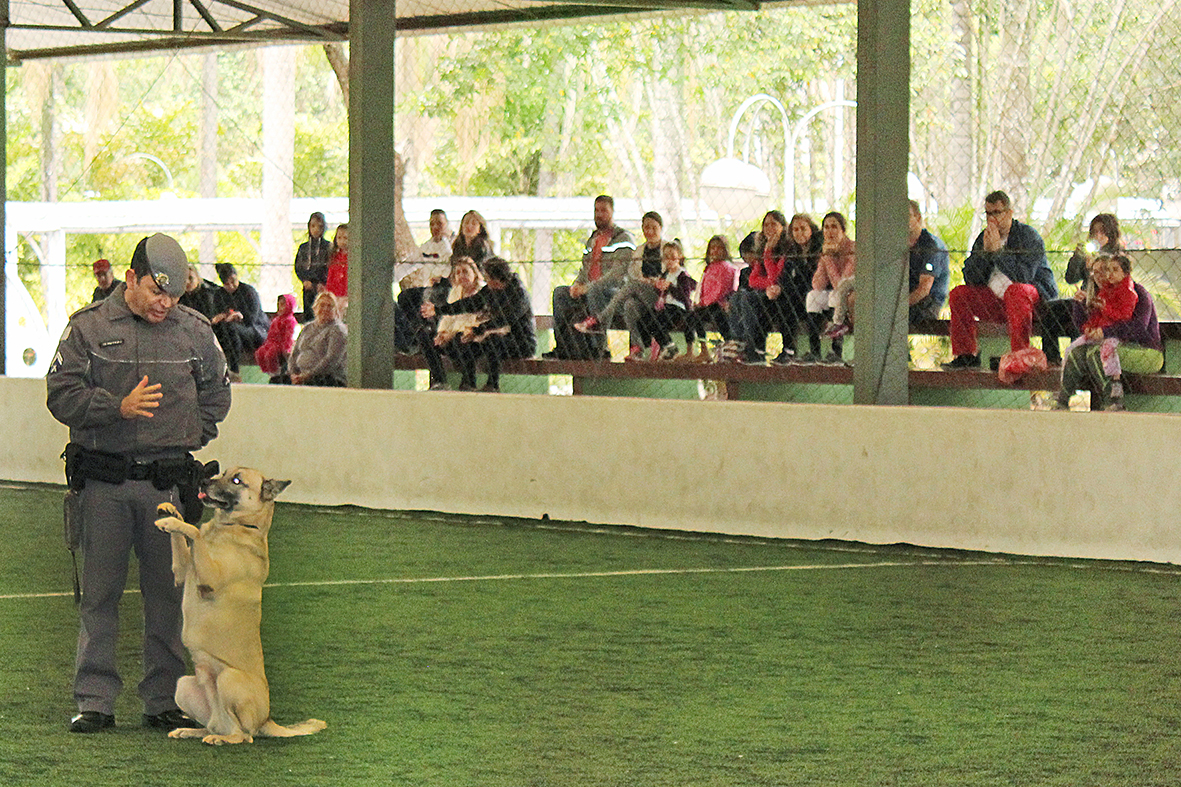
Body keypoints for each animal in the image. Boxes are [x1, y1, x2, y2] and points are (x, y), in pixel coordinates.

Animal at [154, 467, 328, 746]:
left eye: (237, 480)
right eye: (223, 473)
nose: (203, 481)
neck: (236, 526)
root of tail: (266, 721)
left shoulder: (209, 579)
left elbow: (194, 533)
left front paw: (174, 522)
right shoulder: (181, 572)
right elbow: (183, 543)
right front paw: (171, 513)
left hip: (228, 678)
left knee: (244, 736)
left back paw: (222, 739)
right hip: (184, 686)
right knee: (216, 726)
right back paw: (193, 731)